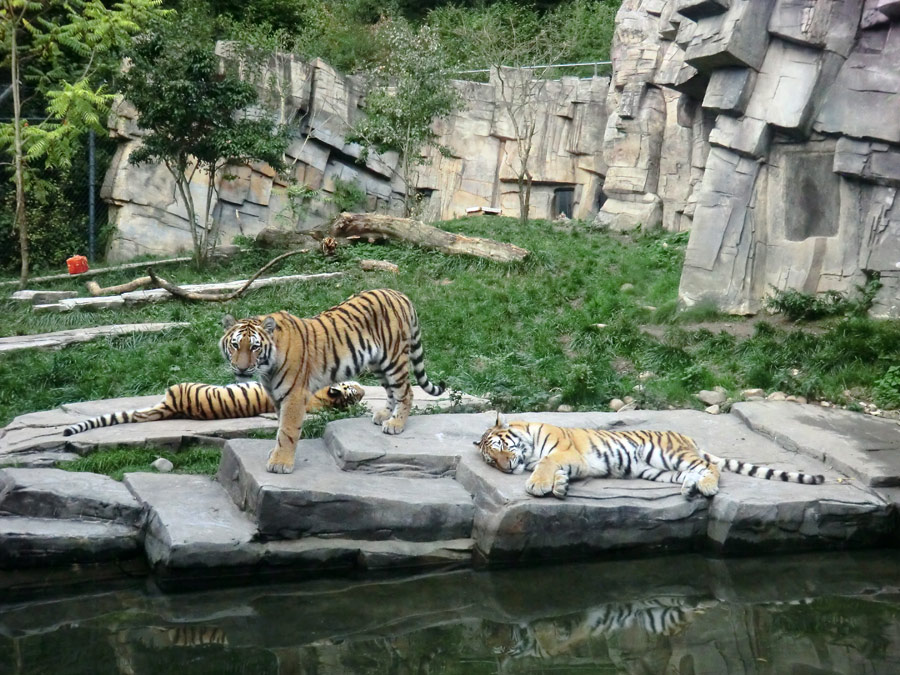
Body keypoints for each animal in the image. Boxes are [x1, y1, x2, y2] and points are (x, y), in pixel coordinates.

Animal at [218, 290, 442, 476]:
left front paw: (280, 464)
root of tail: (399, 294)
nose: (241, 368)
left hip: (394, 359)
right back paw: (384, 415)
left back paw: (396, 424)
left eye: (255, 347)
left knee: (406, 392)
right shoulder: (276, 396)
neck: (267, 368)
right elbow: (281, 428)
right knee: (390, 391)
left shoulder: (294, 396)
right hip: (378, 363)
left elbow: (287, 430)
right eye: (235, 345)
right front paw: (276, 453)